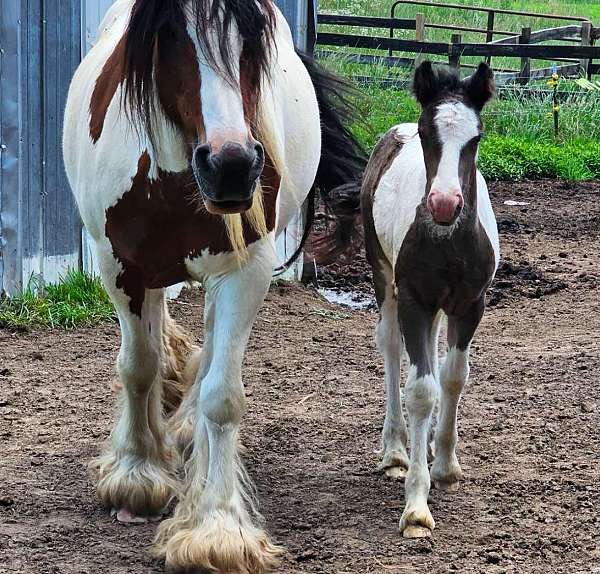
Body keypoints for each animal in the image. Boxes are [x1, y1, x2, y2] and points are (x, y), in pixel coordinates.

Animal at [64, 2, 366, 572]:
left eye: (254, 30)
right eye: (167, 31)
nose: (231, 166)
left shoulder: (243, 269)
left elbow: (222, 396)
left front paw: (217, 529)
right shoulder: (120, 266)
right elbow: (138, 368)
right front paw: (136, 472)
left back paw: (187, 429)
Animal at [364, 62, 500, 540]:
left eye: (476, 137)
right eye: (427, 134)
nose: (443, 203)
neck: (449, 240)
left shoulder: (471, 304)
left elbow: (453, 377)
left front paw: (444, 466)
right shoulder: (414, 300)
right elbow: (421, 390)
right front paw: (416, 507)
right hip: (383, 276)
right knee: (391, 347)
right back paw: (395, 451)